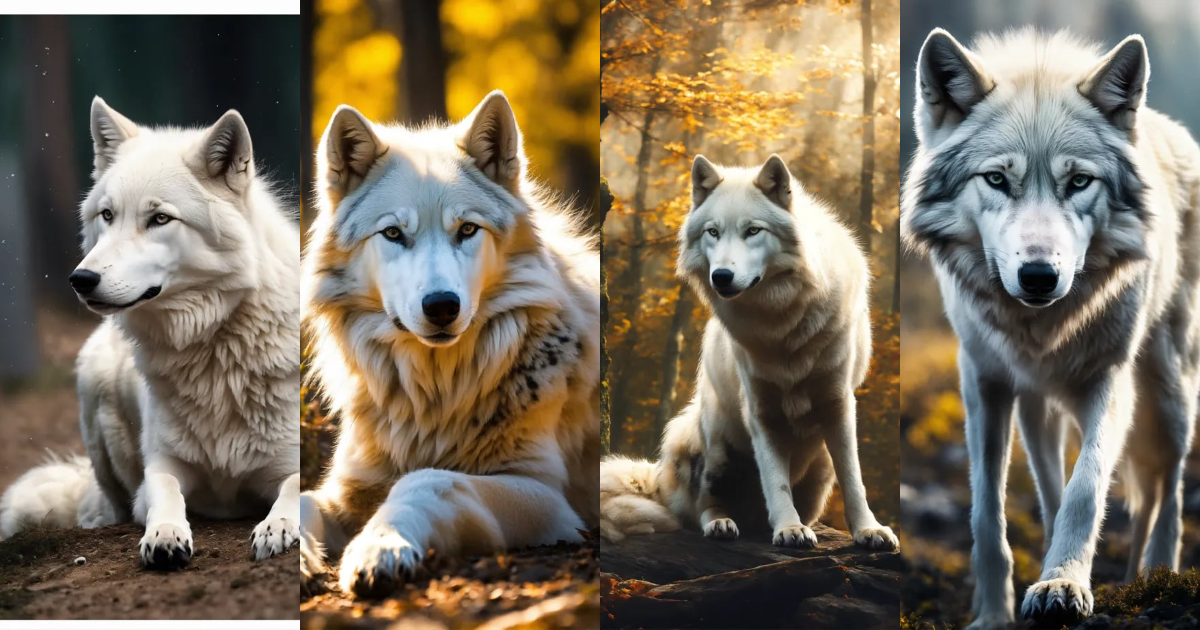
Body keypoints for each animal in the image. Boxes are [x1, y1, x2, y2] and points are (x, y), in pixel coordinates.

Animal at [0, 97, 301, 569]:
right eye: (107, 215)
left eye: (160, 218)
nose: (80, 279)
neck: (214, 345)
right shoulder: (162, 468)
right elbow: (164, 493)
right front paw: (165, 535)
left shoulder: (292, 464)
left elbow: (294, 491)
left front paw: (277, 527)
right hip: (95, 389)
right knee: (104, 506)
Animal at [298, 91, 601, 596]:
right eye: (394, 233)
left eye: (467, 230)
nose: (441, 306)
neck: (433, 397)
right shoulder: (348, 490)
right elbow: (302, 499)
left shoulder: (544, 493)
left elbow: (431, 479)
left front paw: (380, 547)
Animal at [602, 154, 898, 553]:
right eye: (713, 232)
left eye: (753, 231)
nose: (721, 276)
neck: (782, 323)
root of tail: (660, 480)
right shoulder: (761, 410)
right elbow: (775, 478)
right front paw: (788, 529)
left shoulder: (838, 404)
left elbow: (853, 478)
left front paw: (869, 530)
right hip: (711, 442)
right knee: (701, 509)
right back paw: (723, 523)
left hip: (819, 467)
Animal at [902, 27, 1200, 628]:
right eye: (997, 179)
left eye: (1079, 181)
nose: (1039, 275)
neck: (1039, 328)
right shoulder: (983, 383)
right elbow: (987, 512)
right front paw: (995, 614)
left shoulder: (1110, 382)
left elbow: (1087, 488)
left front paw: (1063, 585)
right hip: (1039, 410)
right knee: (1052, 485)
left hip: (1167, 395)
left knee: (1167, 489)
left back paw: (1157, 577)